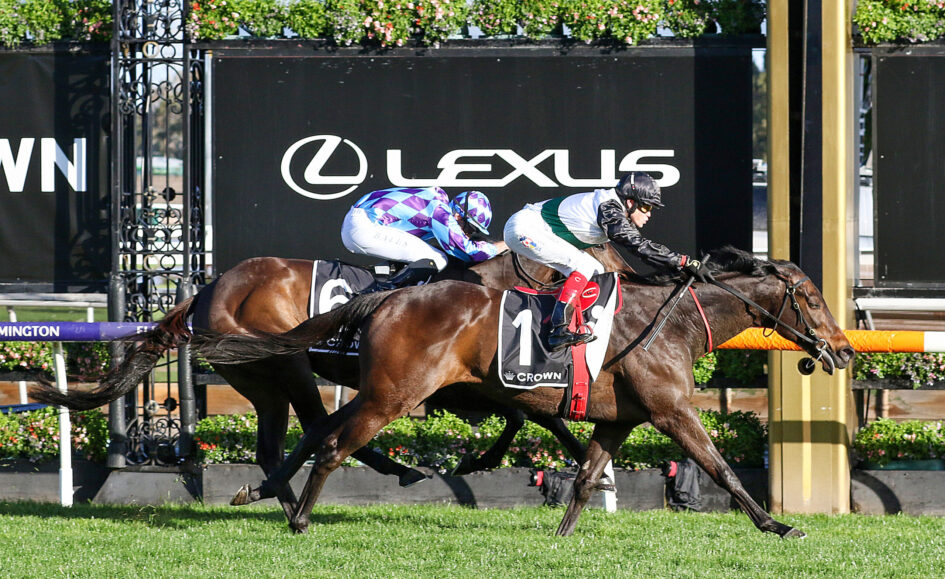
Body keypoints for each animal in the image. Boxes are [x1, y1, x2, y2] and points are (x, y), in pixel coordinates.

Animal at [30, 245, 632, 522]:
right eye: (603, 246)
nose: (626, 274)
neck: (483, 289)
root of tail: (204, 292)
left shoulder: (472, 381)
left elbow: (535, 415)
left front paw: (588, 472)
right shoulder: (451, 383)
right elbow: (529, 414)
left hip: (262, 381)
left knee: (285, 441)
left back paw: (283, 493)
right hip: (288, 363)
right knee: (315, 428)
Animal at [191, 246, 855, 537]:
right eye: (812, 298)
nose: (845, 350)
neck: (671, 323)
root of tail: (389, 297)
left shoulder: (620, 419)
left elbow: (586, 475)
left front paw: (563, 535)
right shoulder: (670, 411)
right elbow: (721, 468)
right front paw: (777, 525)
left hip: (367, 389)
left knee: (314, 436)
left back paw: (272, 495)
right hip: (380, 393)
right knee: (329, 444)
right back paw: (300, 518)